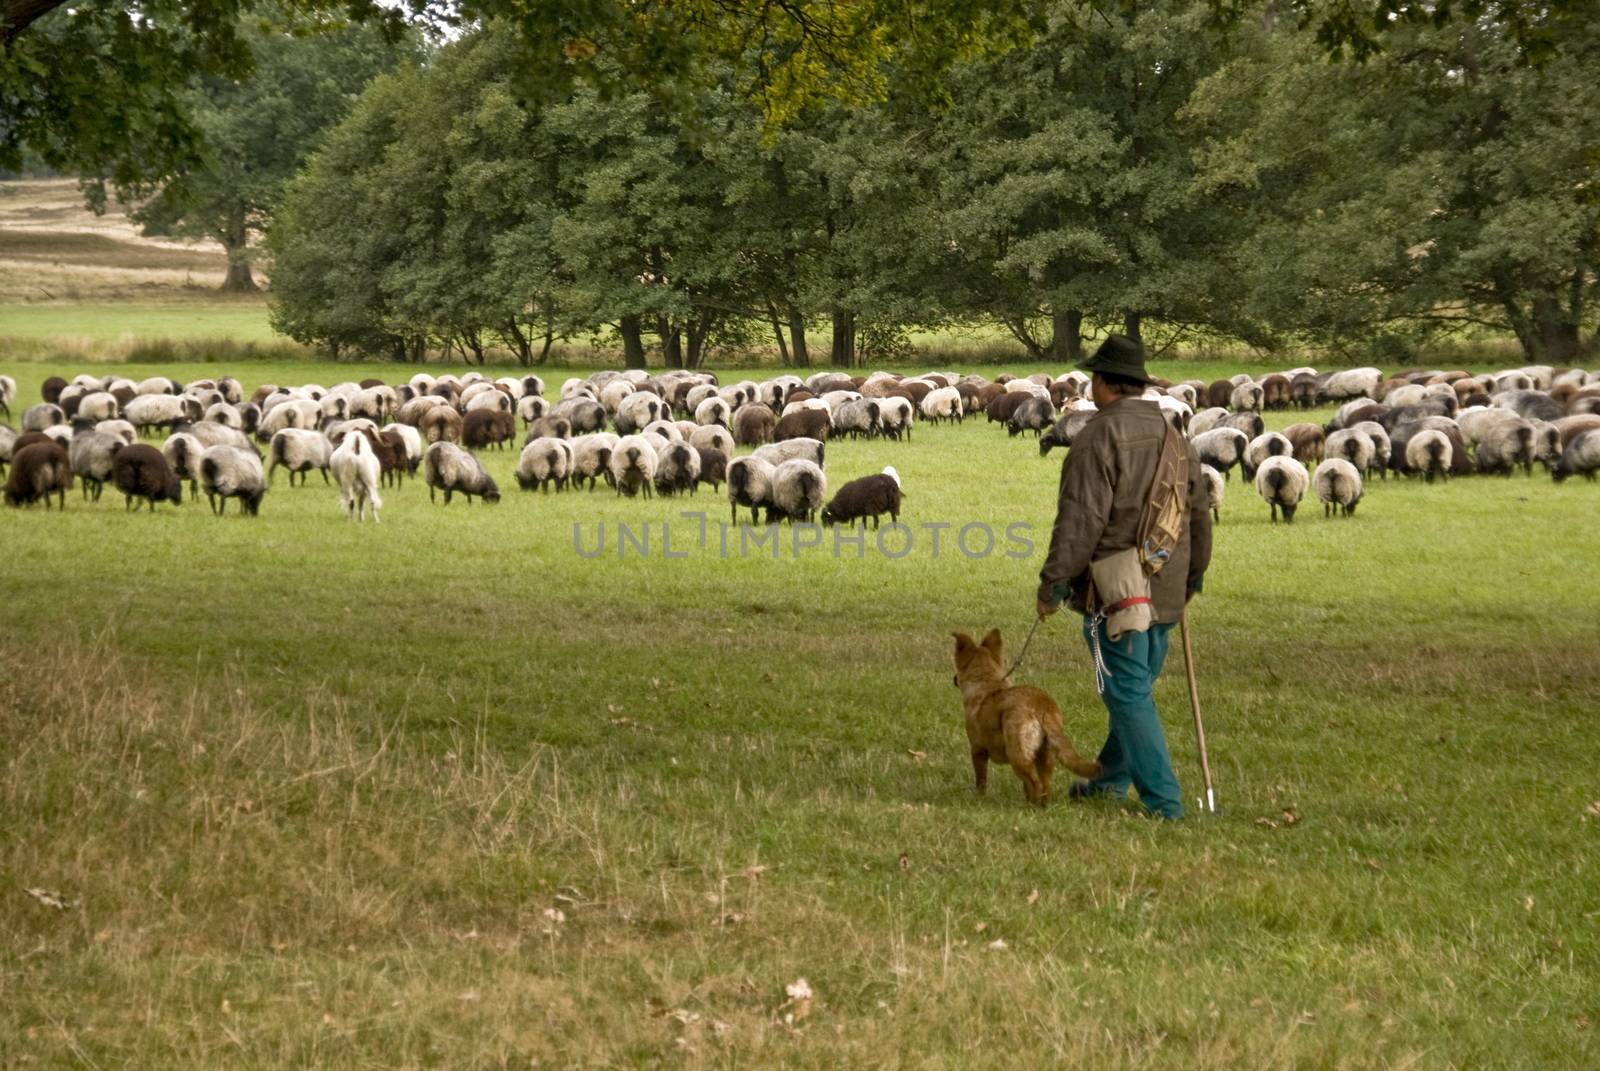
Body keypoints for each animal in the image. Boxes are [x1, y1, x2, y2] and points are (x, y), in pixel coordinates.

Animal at [947, 627, 1100, 800]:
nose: (954, 679)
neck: (986, 682)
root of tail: (1042, 705)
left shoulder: (977, 750)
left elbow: (981, 781)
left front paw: (979, 798)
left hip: (1018, 754)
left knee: (1035, 784)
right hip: (1046, 758)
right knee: (1044, 787)